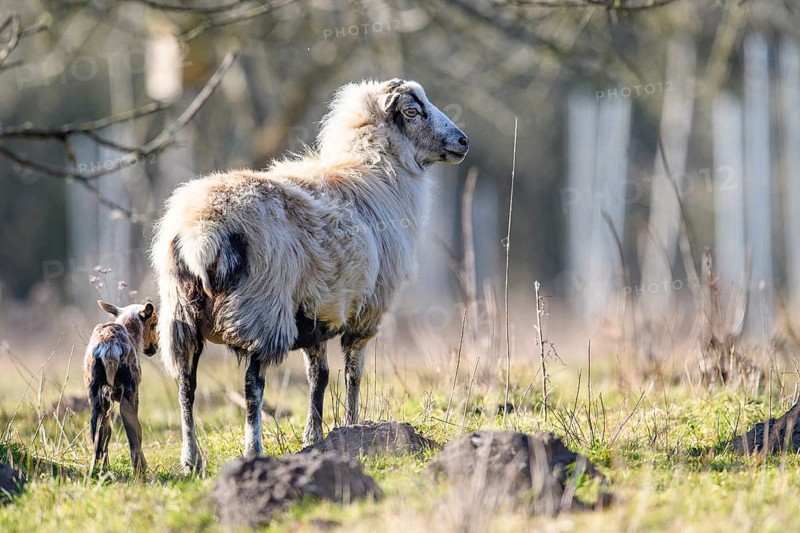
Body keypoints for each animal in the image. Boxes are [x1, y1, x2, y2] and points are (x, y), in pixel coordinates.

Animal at [84, 300, 158, 473]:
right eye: (154, 324)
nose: (155, 347)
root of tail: (109, 350)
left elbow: (104, 433)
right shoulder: (135, 391)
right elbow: (137, 431)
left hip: (95, 393)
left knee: (97, 434)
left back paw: (96, 470)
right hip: (128, 391)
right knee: (133, 434)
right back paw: (139, 471)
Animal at [151, 78, 469, 472]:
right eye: (412, 111)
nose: (463, 141)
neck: (376, 174)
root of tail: (202, 228)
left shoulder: (317, 310)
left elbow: (318, 377)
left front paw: (313, 437)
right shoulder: (365, 312)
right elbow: (352, 373)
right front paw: (353, 427)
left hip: (181, 316)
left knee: (186, 385)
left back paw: (191, 459)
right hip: (263, 309)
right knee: (252, 385)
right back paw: (253, 449)